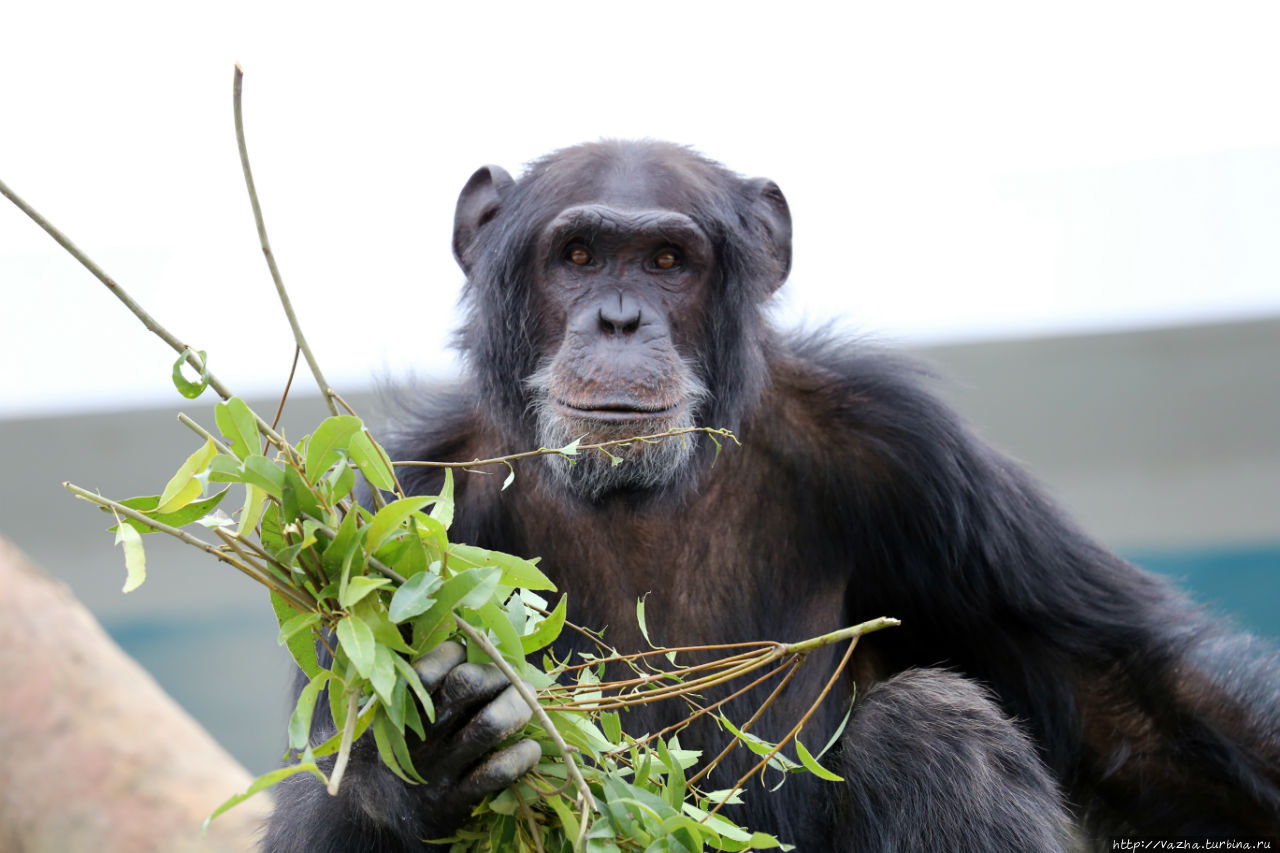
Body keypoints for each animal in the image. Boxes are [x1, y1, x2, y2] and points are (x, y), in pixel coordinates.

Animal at [259, 142, 1280, 845]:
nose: (619, 319)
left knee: (936, 722)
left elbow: (1121, 693)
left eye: (668, 261)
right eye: (579, 256)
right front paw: (439, 744)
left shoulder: (910, 449)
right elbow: (335, 776)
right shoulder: (389, 502)